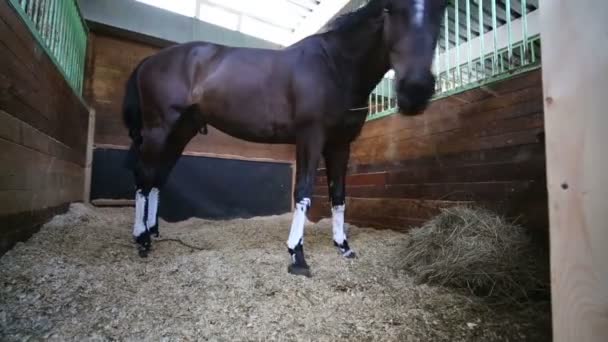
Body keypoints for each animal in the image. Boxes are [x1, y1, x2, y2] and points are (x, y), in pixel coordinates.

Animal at [123, 0, 446, 276]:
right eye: (390, 8)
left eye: (440, 9)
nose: (415, 90)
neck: (335, 67)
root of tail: (151, 60)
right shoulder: (310, 138)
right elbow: (303, 191)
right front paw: (297, 255)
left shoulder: (340, 144)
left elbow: (338, 196)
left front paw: (343, 246)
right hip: (159, 130)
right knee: (144, 176)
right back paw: (141, 239)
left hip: (180, 133)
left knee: (157, 178)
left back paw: (153, 232)